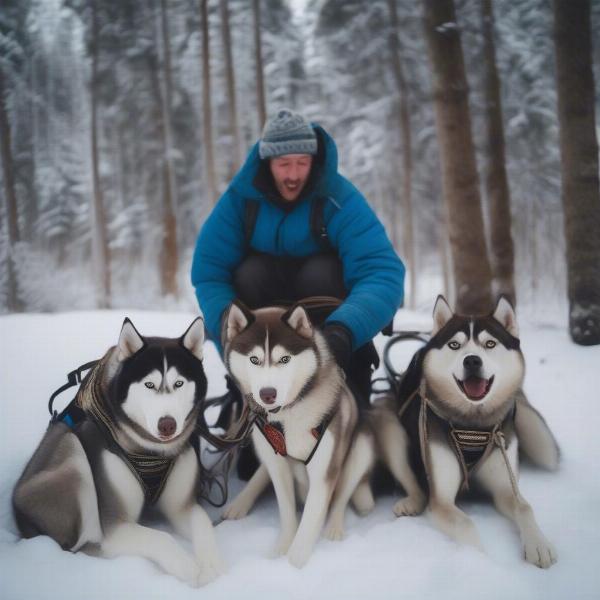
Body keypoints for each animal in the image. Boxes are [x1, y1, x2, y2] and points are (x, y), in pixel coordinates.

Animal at [14, 318, 225, 584]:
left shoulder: (181, 507)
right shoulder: (116, 523)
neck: (150, 452)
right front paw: (187, 566)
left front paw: (211, 565)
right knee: (89, 544)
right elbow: (160, 537)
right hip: (70, 452)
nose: (167, 424)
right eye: (149, 384)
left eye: (179, 383)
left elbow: (203, 525)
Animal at [223, 304, 424, 568]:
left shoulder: (324, 469)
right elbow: (287, 513)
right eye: (254, 360)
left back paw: (336, 528)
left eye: (285, 359)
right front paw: (281, 551)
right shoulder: (278, 466)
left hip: (361, 447)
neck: (289, 415)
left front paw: (294, 564)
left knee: (340, 499)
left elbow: (312, 517)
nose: (268, 394)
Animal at [394, 298, 556, 568]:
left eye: (490, 343)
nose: (471, 361)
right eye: (454, 344)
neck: (473, 426)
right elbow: (465, 523)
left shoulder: (504, 487)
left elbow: (524, 507)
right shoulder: (441, 499)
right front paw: (480, 561)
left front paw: (538, 544)